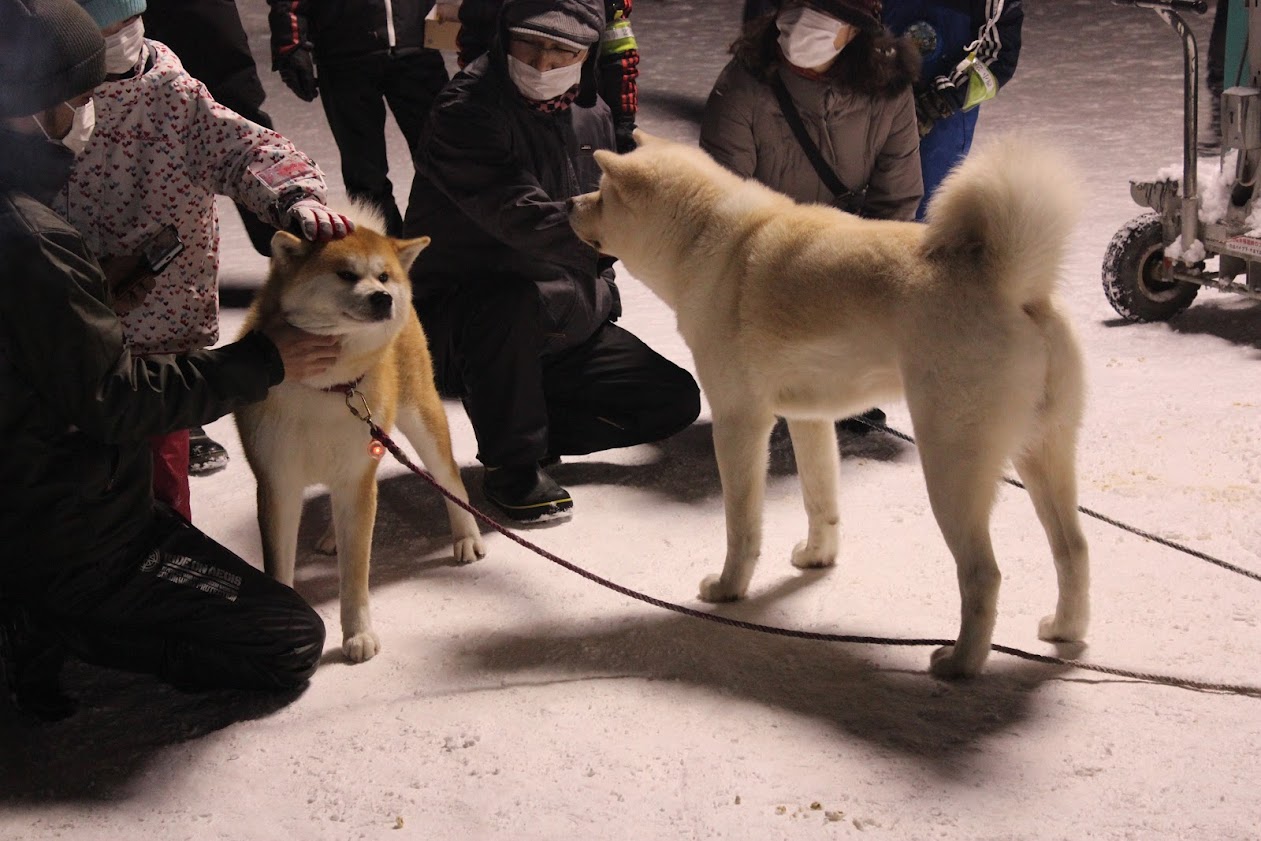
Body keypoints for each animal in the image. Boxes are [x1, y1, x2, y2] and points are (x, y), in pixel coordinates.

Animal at [567, 134, 1089, 680]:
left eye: (601, 194)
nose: (567, 205)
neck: (709, 242)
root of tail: (1014, 284)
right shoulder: (810, 419)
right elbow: (820, 502)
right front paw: (816, 559)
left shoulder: (739, 423)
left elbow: (741, 528)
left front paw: (729, 590)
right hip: (1043, 457)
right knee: (1073, 550)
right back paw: (1063, 631)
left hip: (950, 469)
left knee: (983, 575)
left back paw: (960, 663)